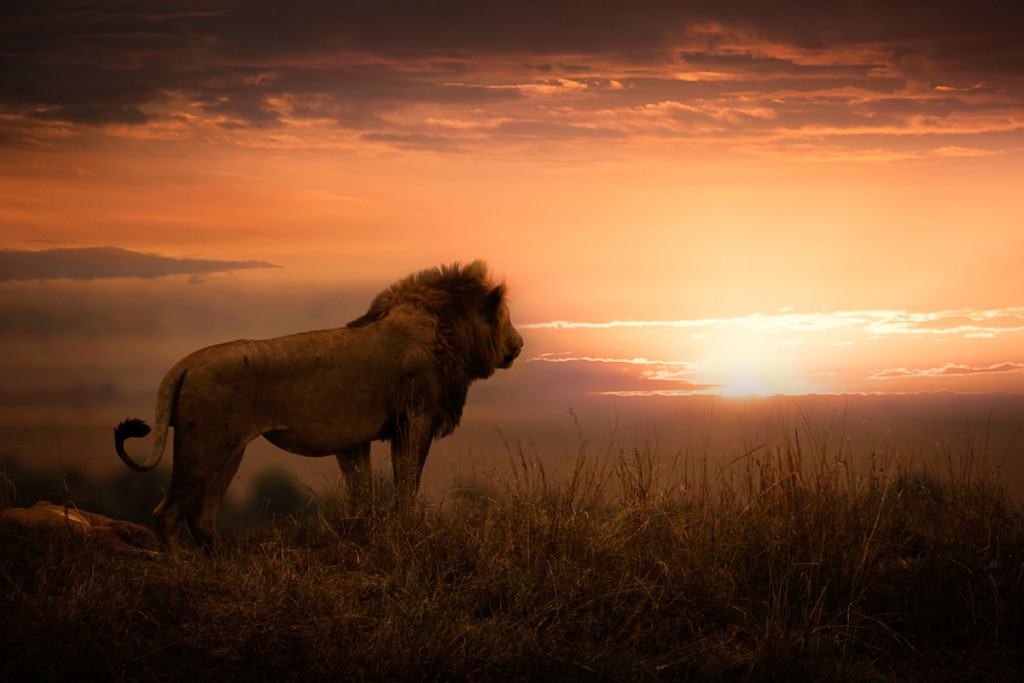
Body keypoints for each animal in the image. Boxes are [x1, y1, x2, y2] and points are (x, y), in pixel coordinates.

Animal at [116, 259, 524, 552]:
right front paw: (408, 532)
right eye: (505, 317)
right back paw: (181, 569)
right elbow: (407, 483)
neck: (446, 330)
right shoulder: (414, 419)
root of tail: (187, 362)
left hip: (228, 452)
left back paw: (221, 564)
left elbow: (363, 494)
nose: (519, 346)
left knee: (202, 516)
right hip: (205, 447)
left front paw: (367, 536)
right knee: (167, 513)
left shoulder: (354, 439)